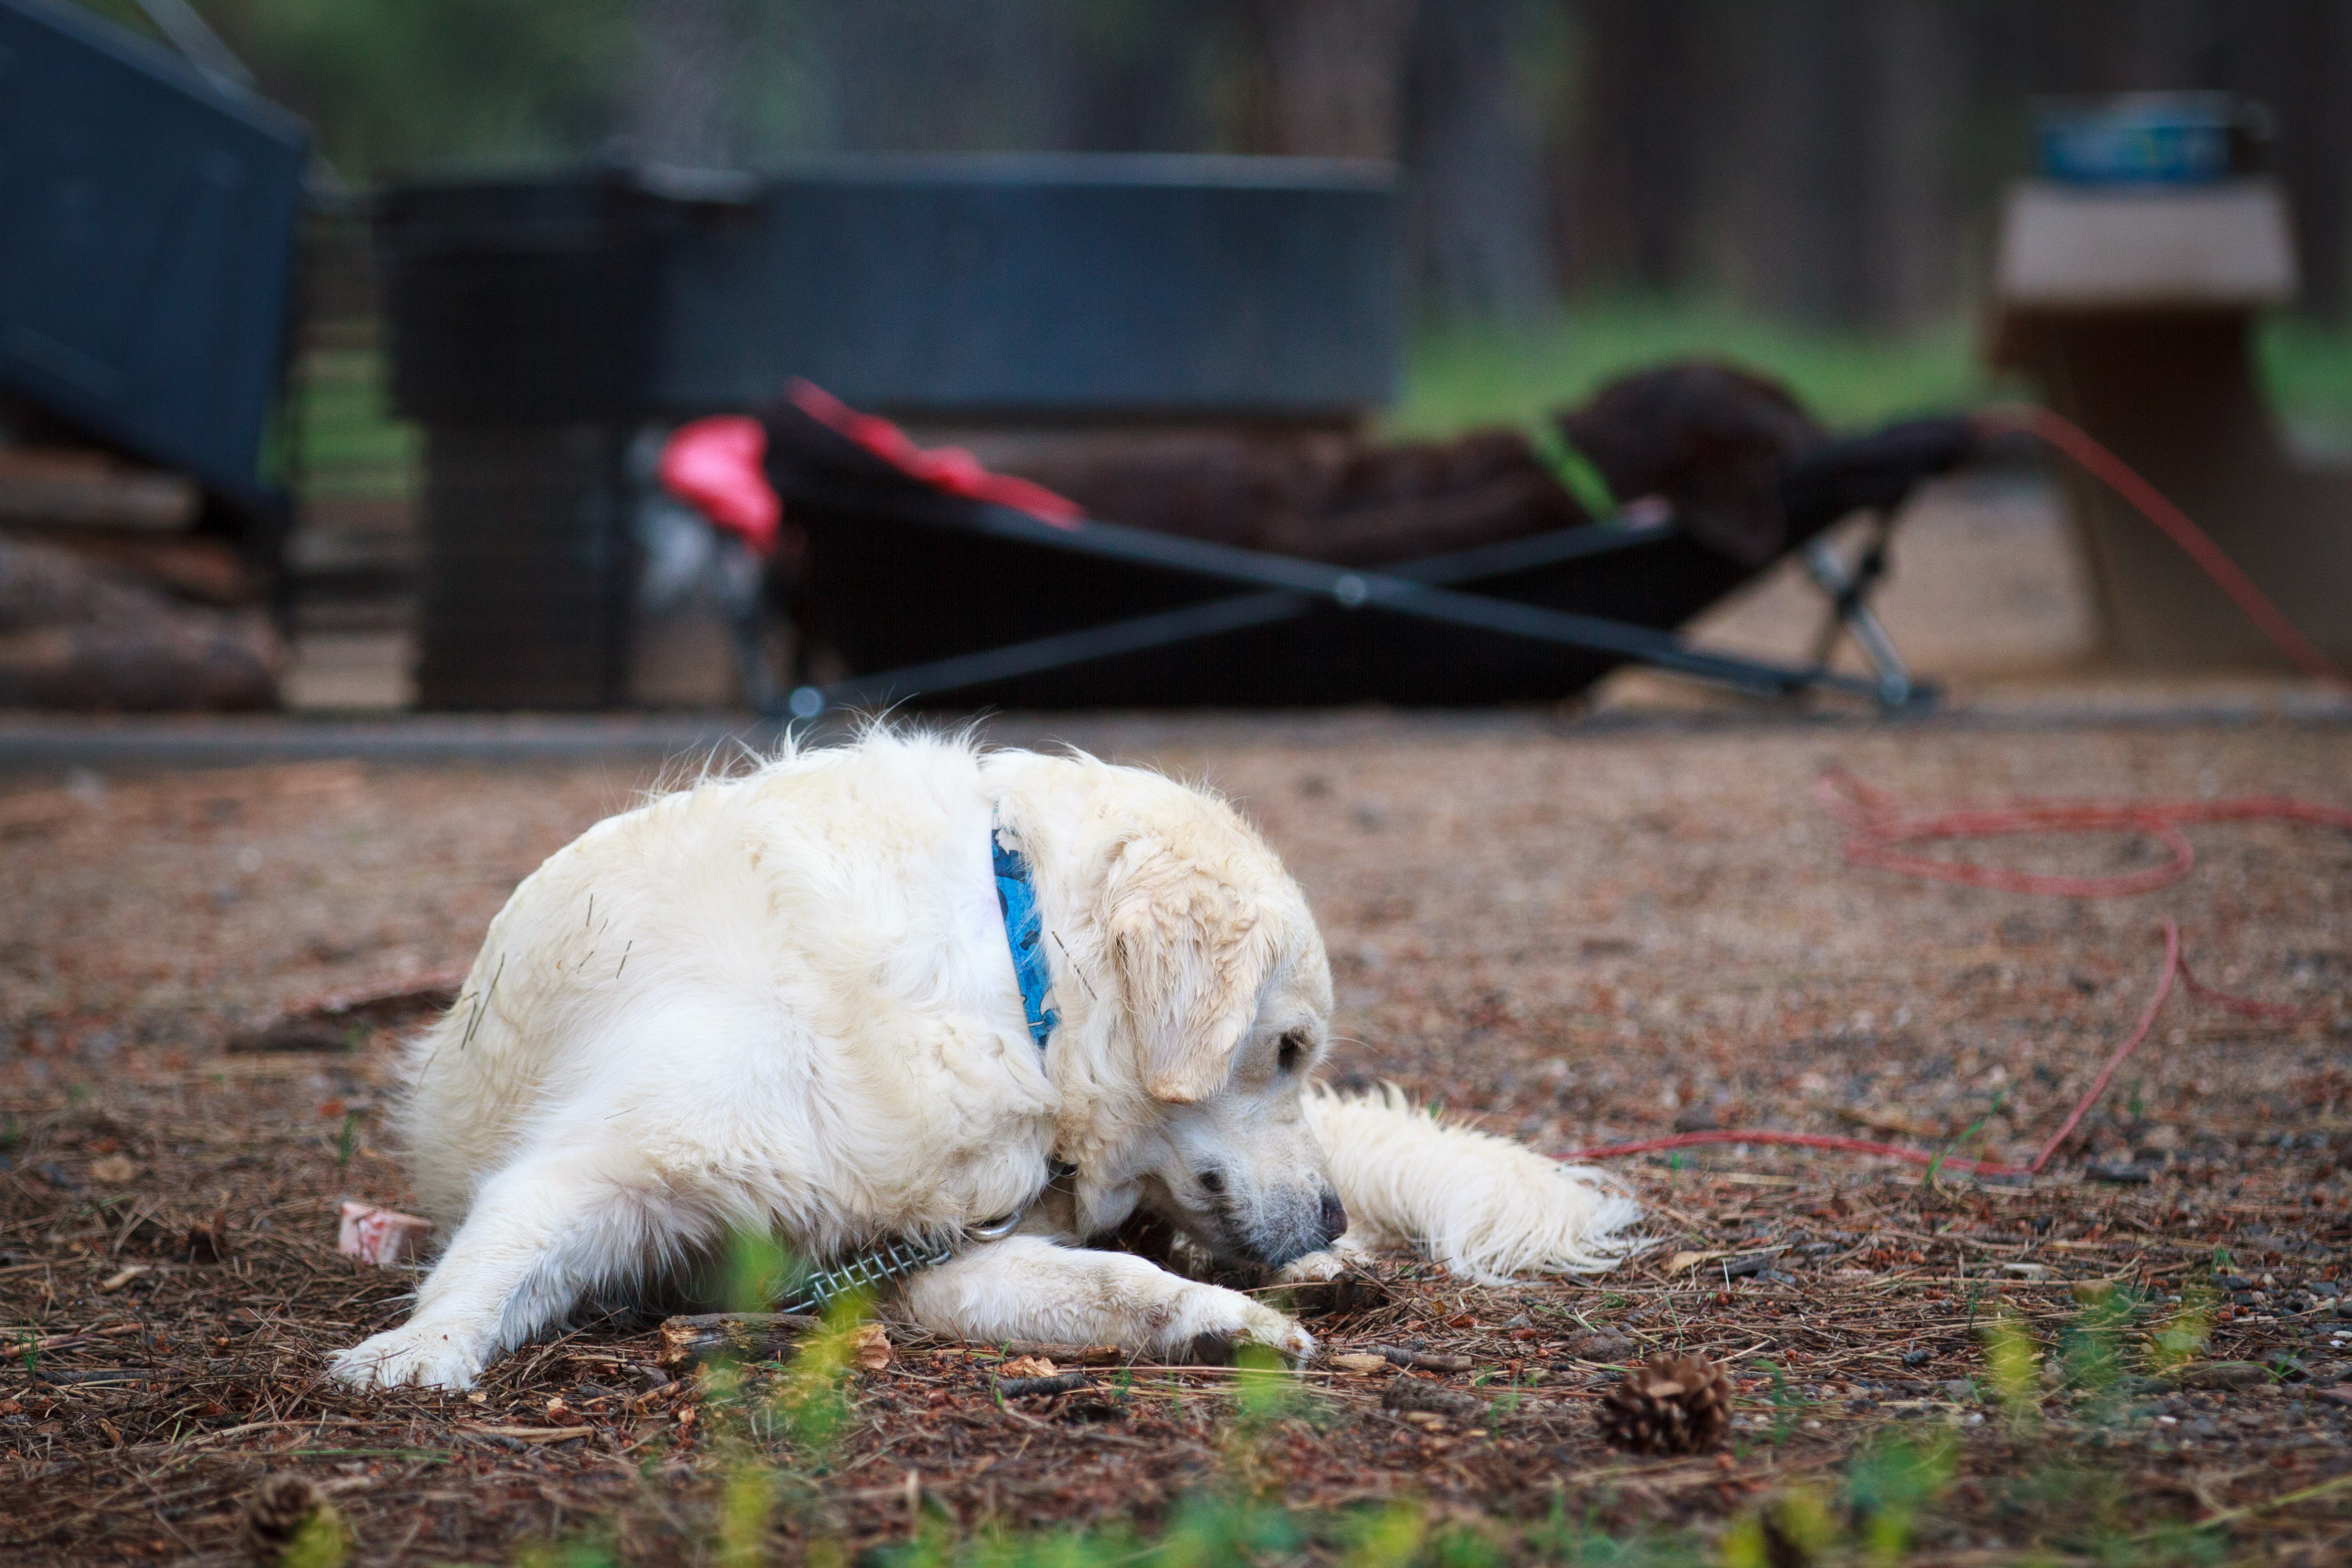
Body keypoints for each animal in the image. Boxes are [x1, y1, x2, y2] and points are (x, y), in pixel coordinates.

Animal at [330, 729, 1640, 1390]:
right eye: (1285, 1049)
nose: (1325, 1212)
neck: (1017, 987)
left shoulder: (948, 1248)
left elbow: (1119, 1281)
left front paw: (1226, 1324)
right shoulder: (615, 1160)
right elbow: (498, 1247)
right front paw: (413, 1351)